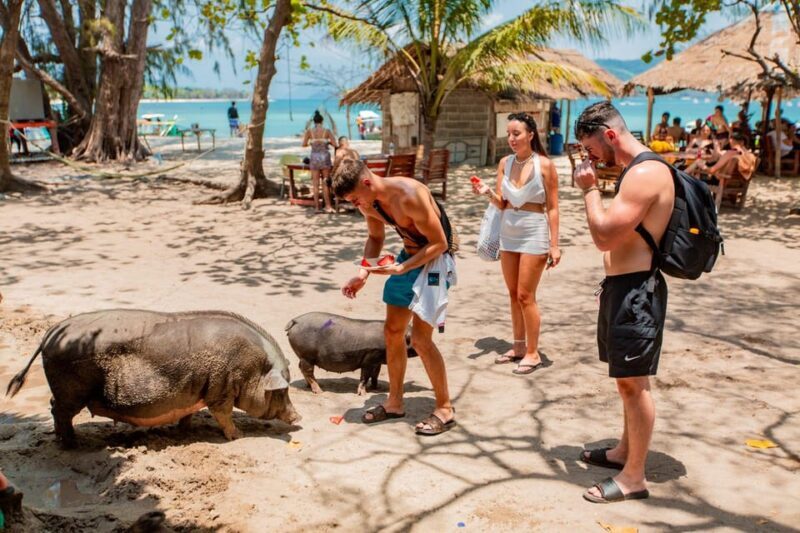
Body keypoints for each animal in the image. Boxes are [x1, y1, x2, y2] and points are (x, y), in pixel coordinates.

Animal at [6, 310, 300, 447]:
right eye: (281, 391)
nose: (299, 417)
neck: (252, 368)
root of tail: (50, 332)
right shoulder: (221, 391)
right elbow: (223, 415)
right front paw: (238, 436)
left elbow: (189, 413)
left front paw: (185, 432)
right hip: (72, 391)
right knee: (59, 411)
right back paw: (73, 444)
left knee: (53, 407)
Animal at [285, 312, 416, 395]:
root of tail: (295, 320)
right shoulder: (369, 358)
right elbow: (365, 375)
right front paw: (363, 394)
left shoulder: (377, 361)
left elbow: (375, 374)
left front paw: (376, 388)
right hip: (307, 355)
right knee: (307, 371)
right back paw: (319, 391)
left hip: (303, 356)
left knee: (301, 368)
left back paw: (308, 386)